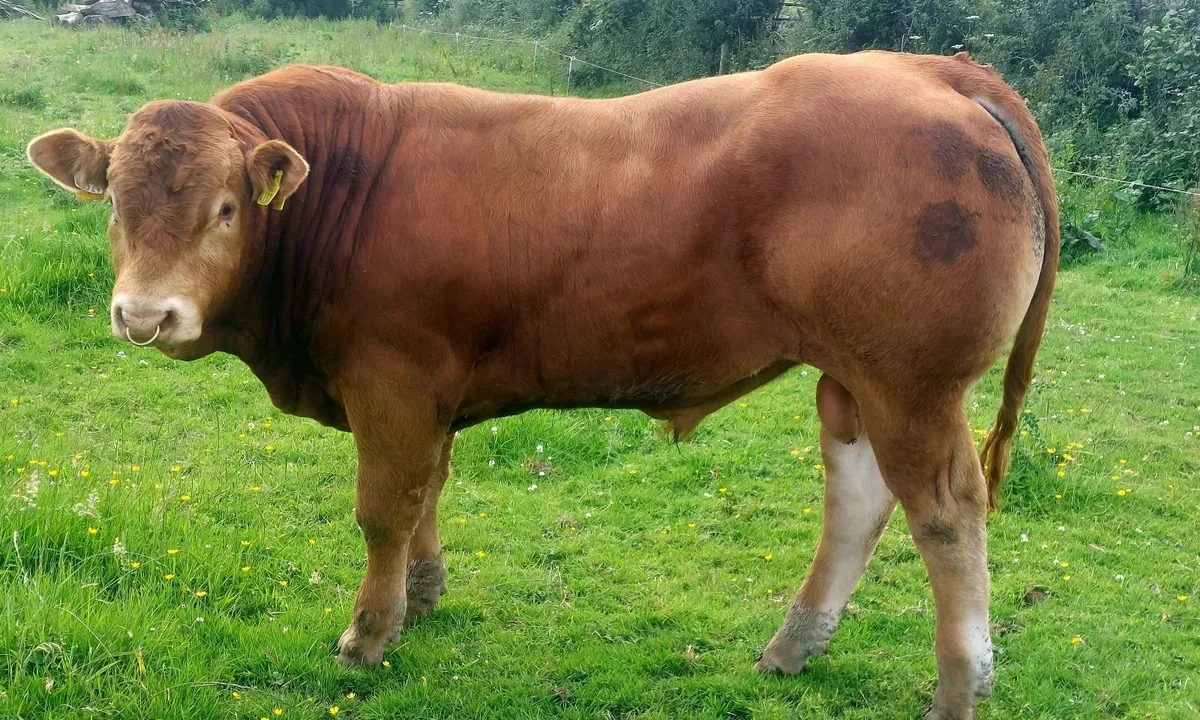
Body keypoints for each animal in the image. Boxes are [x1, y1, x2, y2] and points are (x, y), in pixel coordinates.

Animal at [28, 50, 1058, 719]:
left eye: (226, 208)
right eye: (114, 204)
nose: (145, 315)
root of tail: (932, 70)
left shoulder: (390, 381)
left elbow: (384, 508)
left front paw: (369, 634)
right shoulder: (428, 394)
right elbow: (427, 493)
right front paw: (422, 596)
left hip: (911, 384)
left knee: (946, 513)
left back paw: (960, 686)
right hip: (851, 379)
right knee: (859, 500)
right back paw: (794, 646)